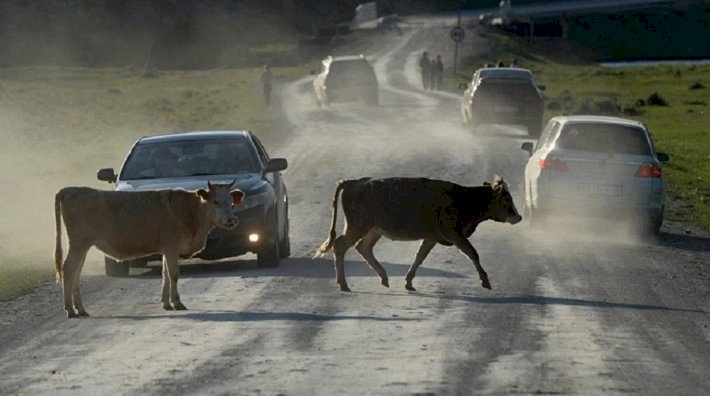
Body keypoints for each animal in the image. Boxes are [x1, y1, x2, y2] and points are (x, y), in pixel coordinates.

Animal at [53, 181, 245, 318]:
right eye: (216, 202)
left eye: (231, 203)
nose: (231, 220)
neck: (190, 210)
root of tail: (71, 190)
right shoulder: (171, 247)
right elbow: (174, 275)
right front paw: (177, 302)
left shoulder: (167, 250)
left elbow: (165, 274)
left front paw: (166, 303)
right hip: (79, 244)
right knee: (68, 270)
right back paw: (70, 309)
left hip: (82, 246)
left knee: (76, 272)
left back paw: (80, 309)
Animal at [318, 176, 524, 290]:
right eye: (507, 199)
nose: (519, 216)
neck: (465, 198)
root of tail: (353, 182)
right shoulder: (454, 234)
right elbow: (472, 253)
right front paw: (485, 281)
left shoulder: (431, 237)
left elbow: (419, 257)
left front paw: (409, 282)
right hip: (358, 226)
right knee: (340, 245)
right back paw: (344, 284)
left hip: (373, 230)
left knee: (363, 247)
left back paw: (383, 277)